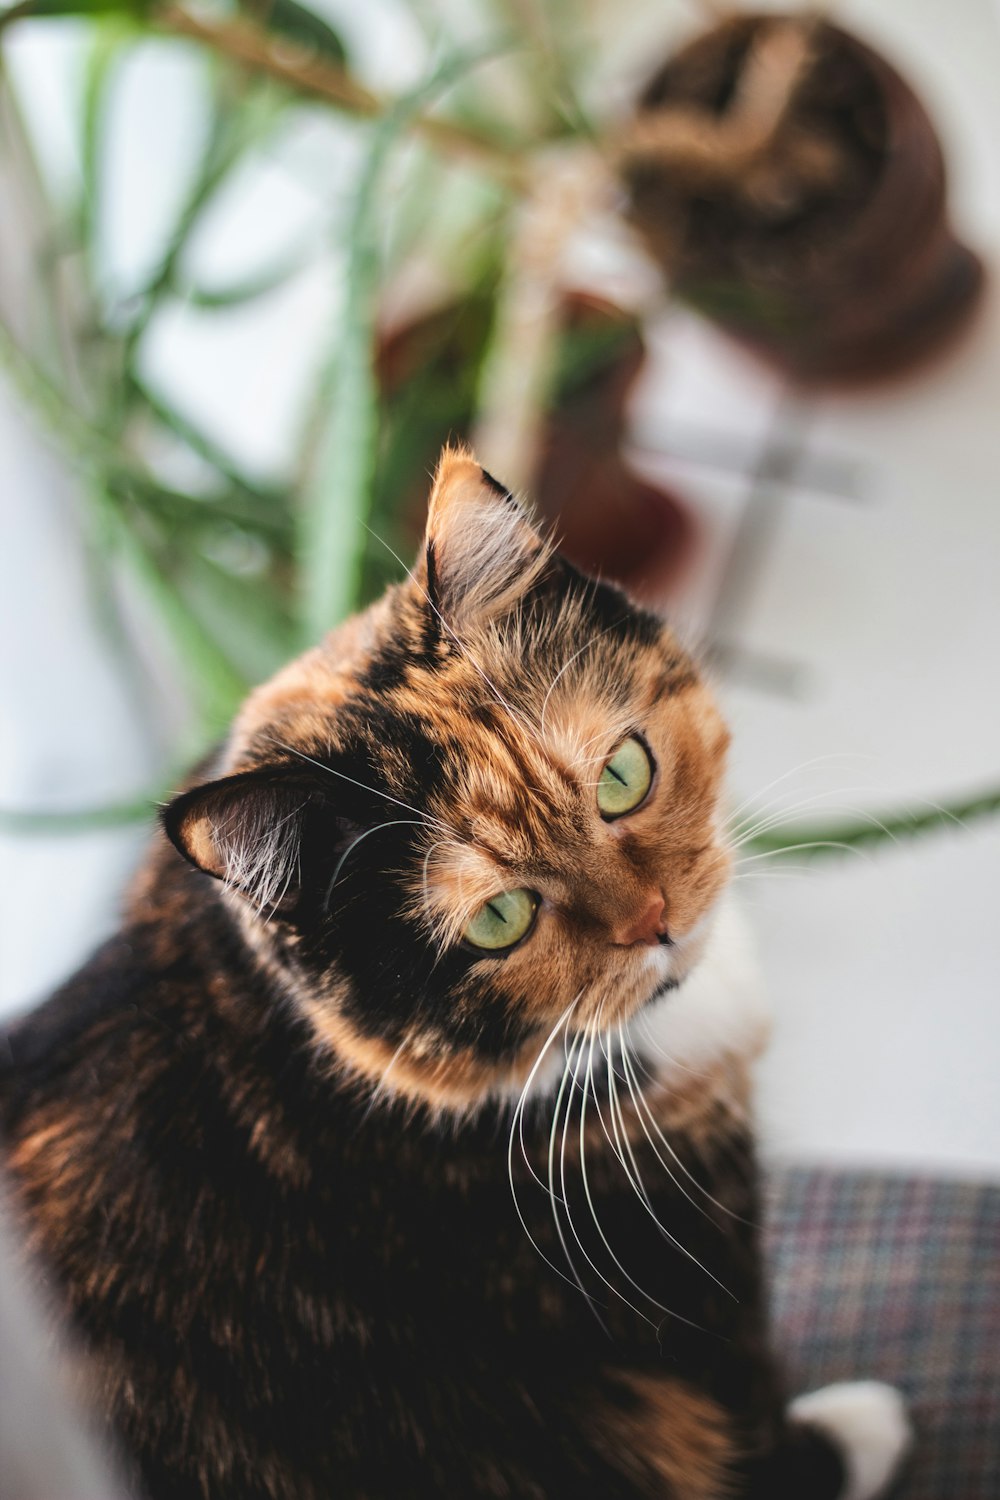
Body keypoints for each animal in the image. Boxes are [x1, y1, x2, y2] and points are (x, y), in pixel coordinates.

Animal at [0, 450, 905, 1500]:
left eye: (623, 776)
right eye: (497, 920)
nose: (659, 924)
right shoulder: (684, 1302)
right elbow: (763, 1450)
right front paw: (865, 1424)